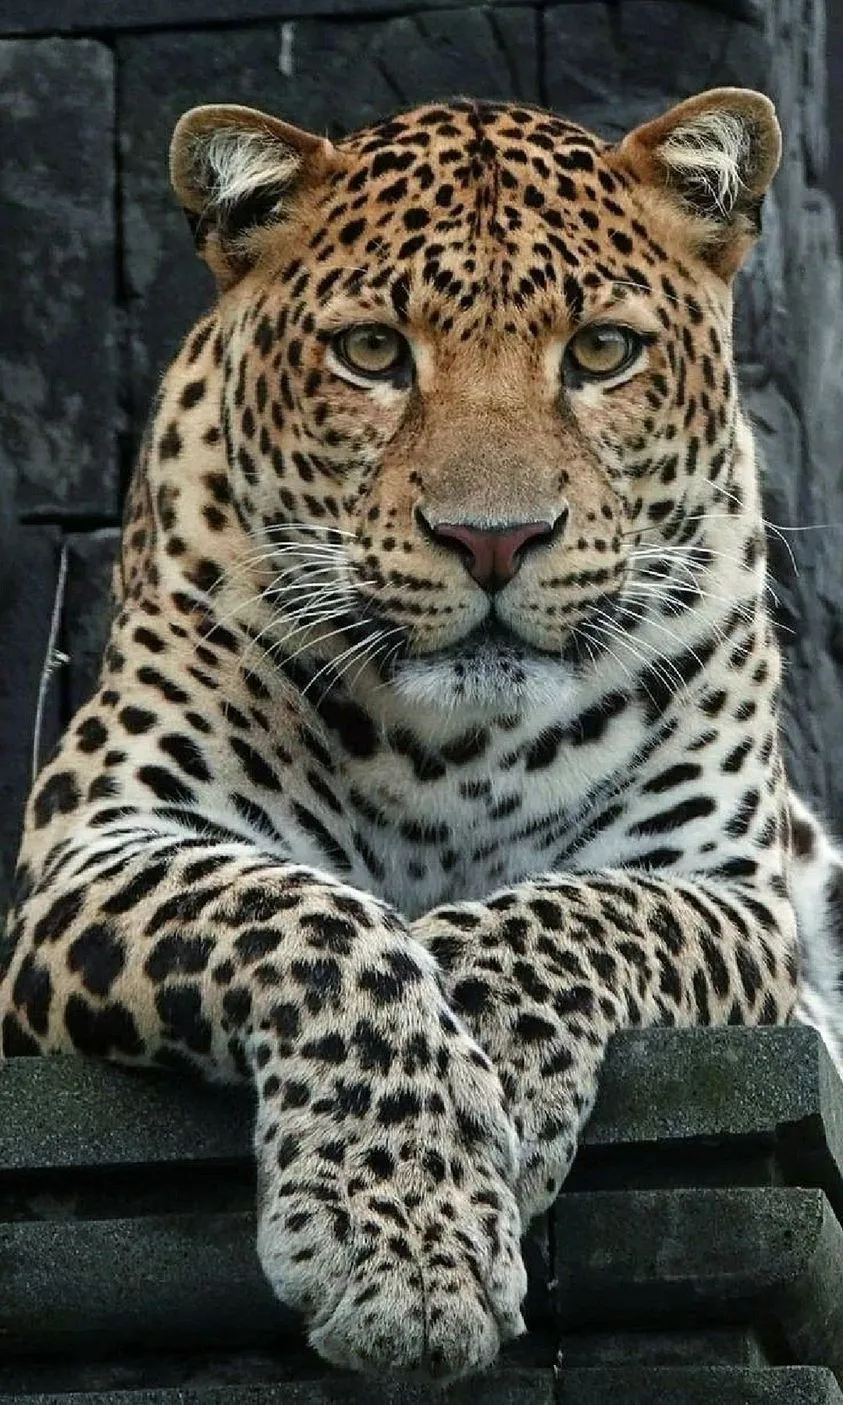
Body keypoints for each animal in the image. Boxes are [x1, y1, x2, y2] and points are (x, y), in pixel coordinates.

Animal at [3, 85, 843, 1381]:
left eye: (601, 352)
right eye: (372, 354)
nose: (493, 539)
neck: (461, 751)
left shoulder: (729, 886)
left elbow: (583, 907)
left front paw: (490, 1051)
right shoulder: (100, 840)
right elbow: (308, 920)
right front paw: (402, 1229)